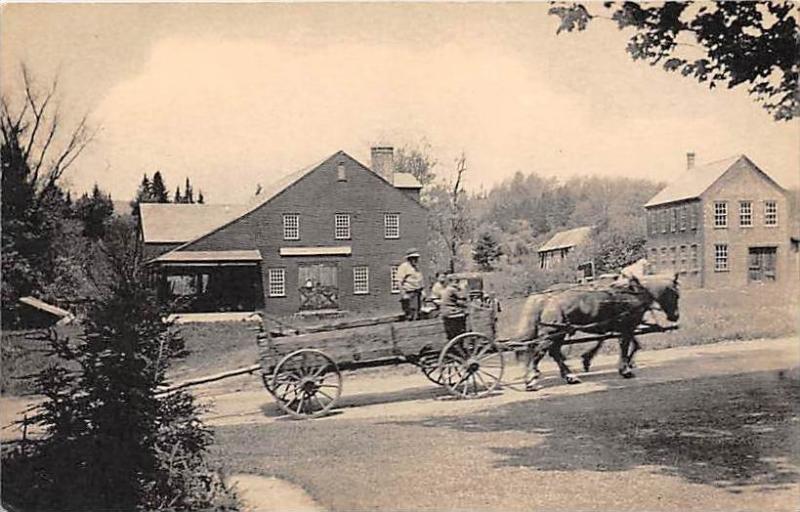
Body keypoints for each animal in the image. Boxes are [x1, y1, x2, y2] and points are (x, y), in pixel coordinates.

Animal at [512, 272, 680, 388]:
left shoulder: (623, 327)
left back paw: (569, 376)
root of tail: (547, 298)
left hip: (560, 333)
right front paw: (625, 369)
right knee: (540, 352)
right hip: (552, 333)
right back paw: (531, 380)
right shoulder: (627, 326)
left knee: (554, 352)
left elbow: (631, 344)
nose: (675, 316)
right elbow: (625, 346)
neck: (634, 293)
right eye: (675, 295)